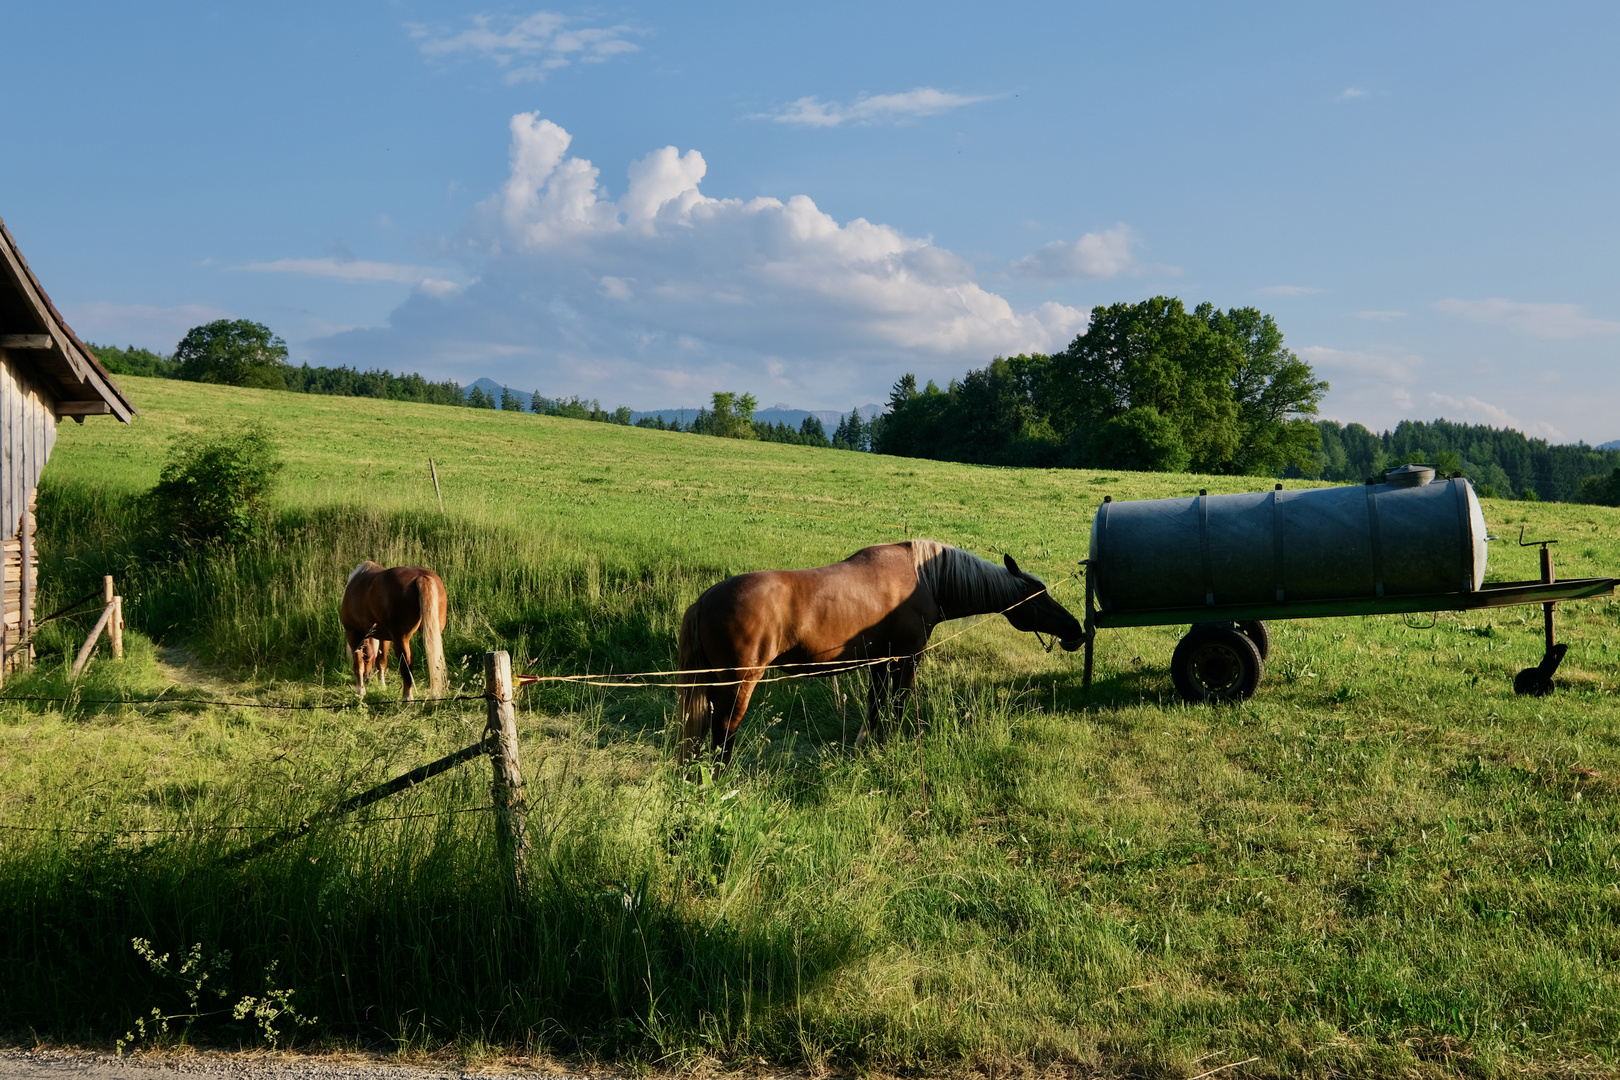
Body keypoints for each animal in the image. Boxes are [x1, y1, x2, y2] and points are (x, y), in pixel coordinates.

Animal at [338, 563, 447, 705]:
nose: (368, 678)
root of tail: (421, 577)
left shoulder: (353, 635)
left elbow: (359, 664)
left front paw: (360, 691)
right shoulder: (384, 638)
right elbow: (381, 662)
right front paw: (382, 687)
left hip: (401, 639)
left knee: (406, 667)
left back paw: (407, 698)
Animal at [677, 537, 1082, 761]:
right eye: (1038, 596)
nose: (1075, 630)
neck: (924, 579)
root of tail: (704, 601)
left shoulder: (878, 659)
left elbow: (876, 706)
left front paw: (869, 745)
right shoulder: (906, 657)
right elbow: (899, 704)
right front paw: (894, 744)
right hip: (738, 684)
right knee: (724, 732)